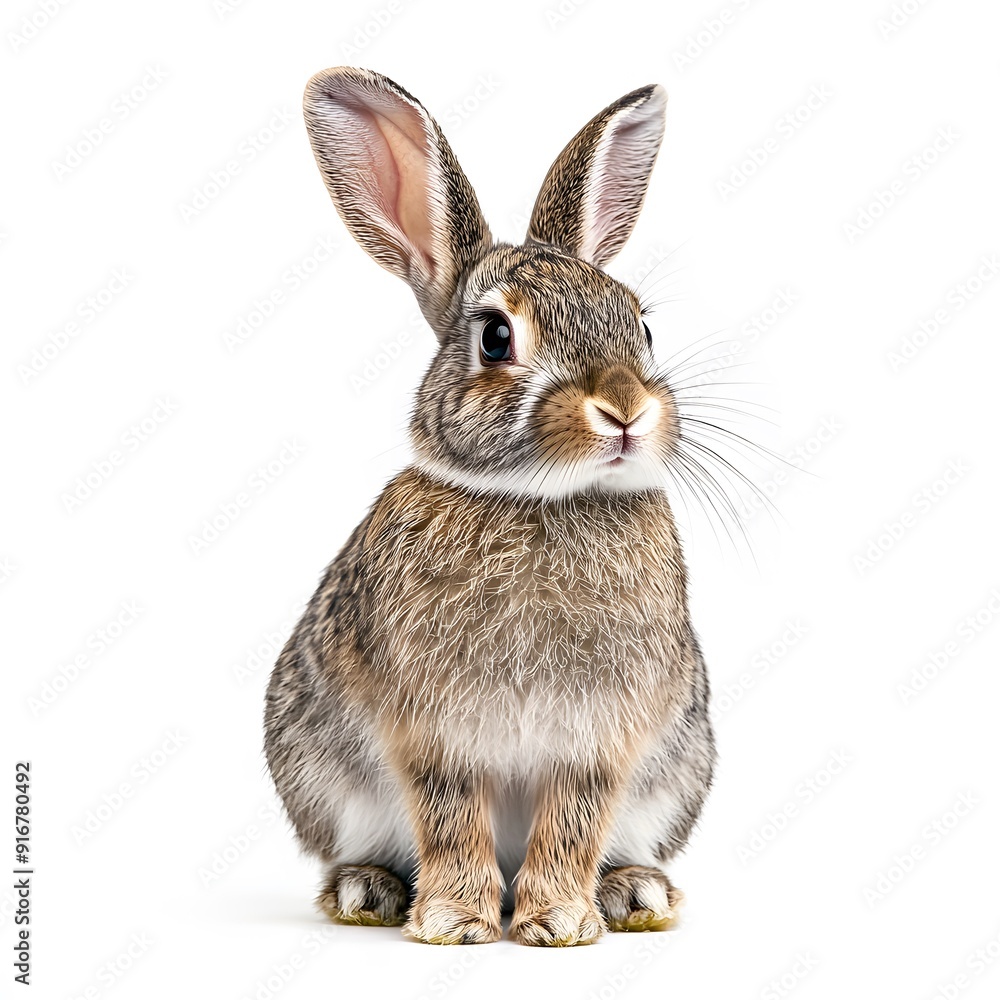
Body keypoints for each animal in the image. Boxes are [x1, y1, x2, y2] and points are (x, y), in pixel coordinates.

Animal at [264, 66, 716, 947]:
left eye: (641, 327)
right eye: (496, 338)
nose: (624, 409)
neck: (543, 500)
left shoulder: (598, 739)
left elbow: (574, 819)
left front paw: (559, 922)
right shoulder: (433, 732)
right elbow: (448, 815)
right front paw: (454, 921)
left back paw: (634, 894)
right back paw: (367, 891)